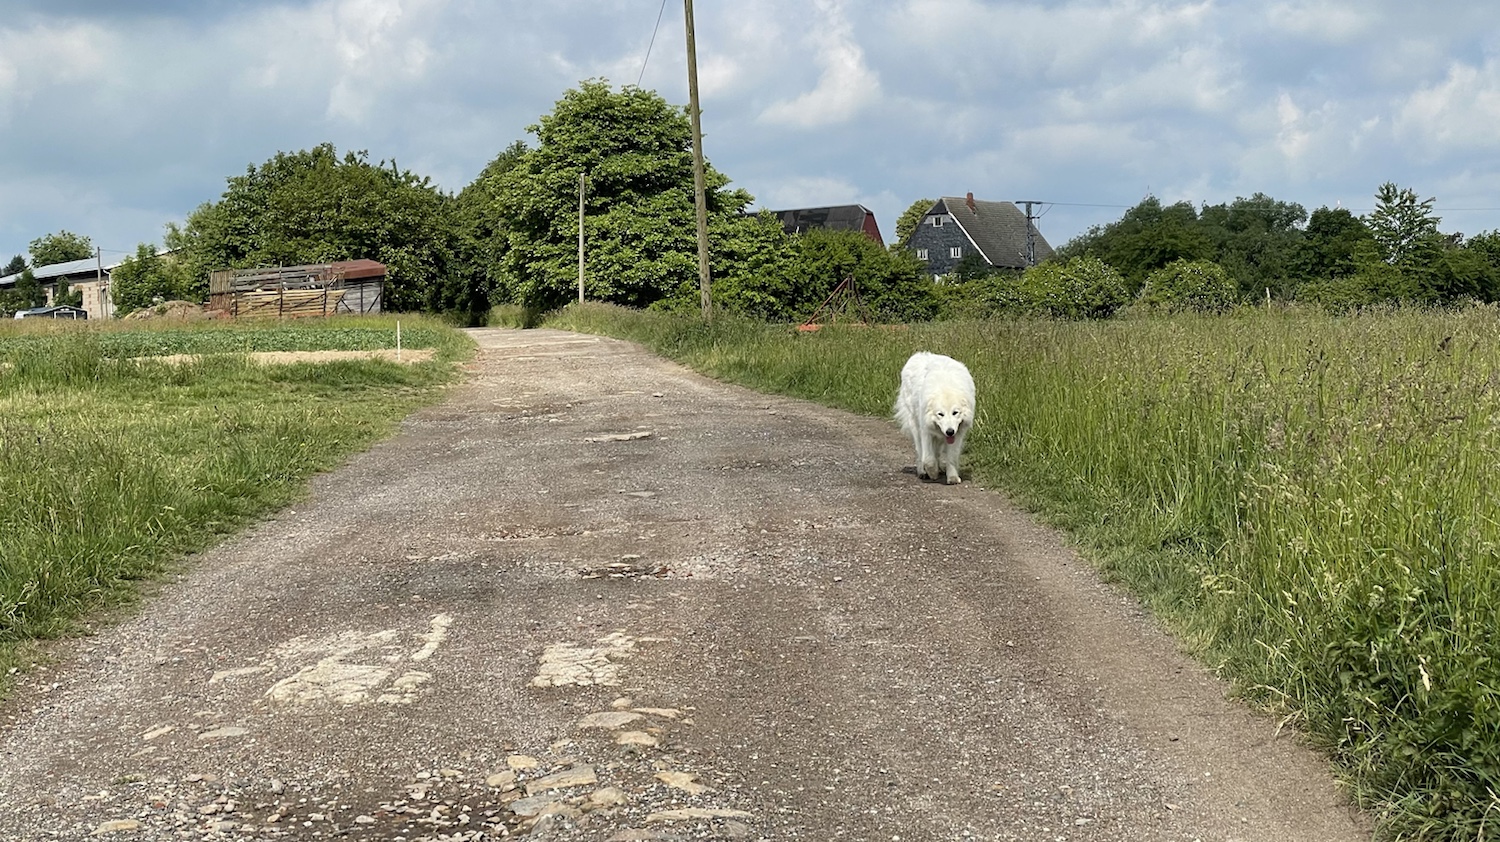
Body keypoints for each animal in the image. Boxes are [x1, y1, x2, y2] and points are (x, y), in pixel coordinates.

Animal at [894, 351, 976, 485]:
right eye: (940, 414)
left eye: (955, 412)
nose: (949, 431)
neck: (946, 387)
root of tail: (919, 354)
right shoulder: (926, 431)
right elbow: (928, 459)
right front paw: (932, 473)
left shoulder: (958, 434)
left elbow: (951, 457)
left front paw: (952, 477)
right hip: (915, 426)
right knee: (920, 451)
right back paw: (922, 471)